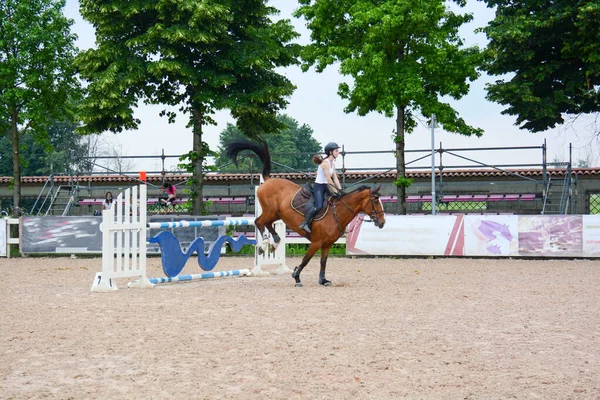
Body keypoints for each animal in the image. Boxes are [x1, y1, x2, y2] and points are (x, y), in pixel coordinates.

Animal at [224, 139, 384, 286]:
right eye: (376, 201)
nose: (382, 222)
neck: (337, 212)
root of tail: (268, 180)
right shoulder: (316, 242)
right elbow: (306, 260)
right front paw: (296, 277)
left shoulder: (327, 244)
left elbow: (323, 262)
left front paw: (323, 280)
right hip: (270, 211)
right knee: (259, 221)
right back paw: (264, 245)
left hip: (276, 214)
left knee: (267, 224)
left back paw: (275, 242)